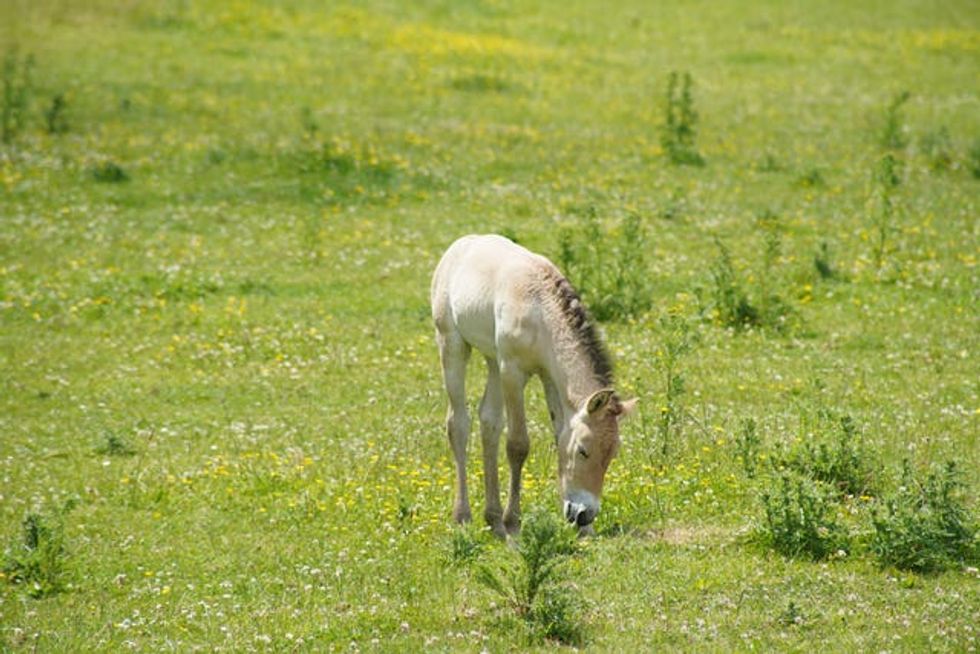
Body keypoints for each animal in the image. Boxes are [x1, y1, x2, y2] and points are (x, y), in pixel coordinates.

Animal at [431, 234, 637, 537]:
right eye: (583, 450)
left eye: (611, 456)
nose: (584, 515)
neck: (539, 311)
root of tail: (460, 245)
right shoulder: (513, 372)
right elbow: (518, 445)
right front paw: (514, 522)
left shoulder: (548, 377)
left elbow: (558, 433)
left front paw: (584, 531)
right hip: (452, 344)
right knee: (458, 423)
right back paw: (464, 517)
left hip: (493, 361)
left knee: (489, 423)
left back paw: (492, 520)